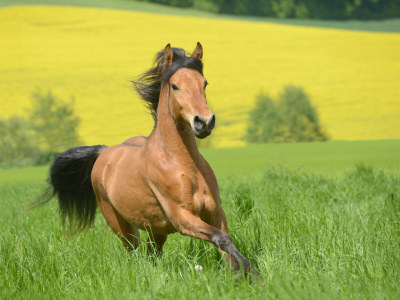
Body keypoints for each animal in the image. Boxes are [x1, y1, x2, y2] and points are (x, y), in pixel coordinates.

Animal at [36, 42, 258, 276]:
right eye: (175, 86)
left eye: (204, 83)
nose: (204, 122)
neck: (183, 165)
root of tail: (104, 152)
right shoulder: (181, 217)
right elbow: (221, 237)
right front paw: (253, 272)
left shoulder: (215, 212)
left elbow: (227, 247)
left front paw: (244, 275)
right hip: (123, 227)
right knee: (135, 254)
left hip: (156, 229)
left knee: (152, 256)